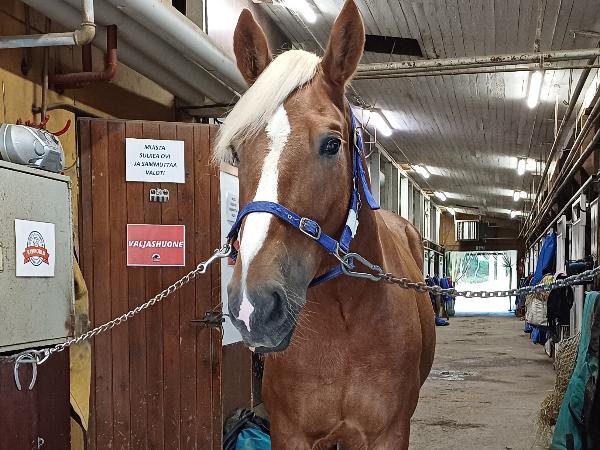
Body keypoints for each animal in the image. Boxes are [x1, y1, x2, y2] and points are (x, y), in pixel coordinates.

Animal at [213, 1, 436, 448]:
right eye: (236, 150)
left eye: (332, 144)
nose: (253, 304)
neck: (343, 321)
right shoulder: (290, 433)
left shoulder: (389, 434)